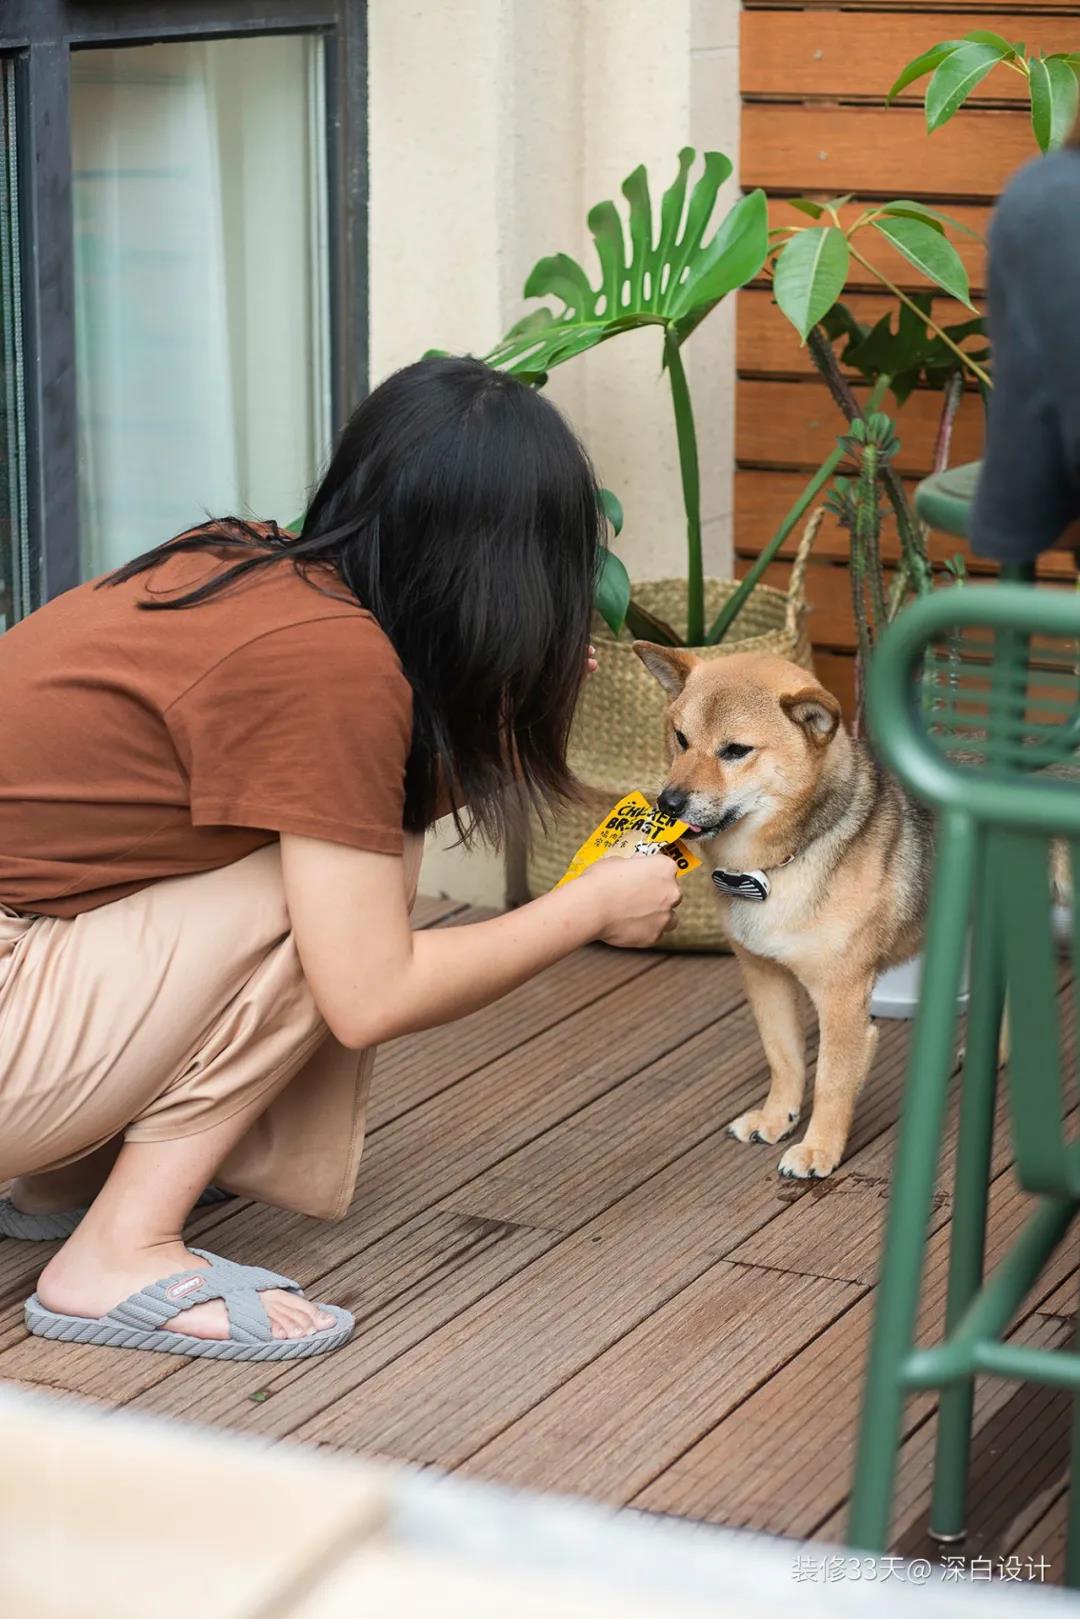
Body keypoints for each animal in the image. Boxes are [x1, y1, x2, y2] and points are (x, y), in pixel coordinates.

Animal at [637, 641, 932, 1178]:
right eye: (680, 738)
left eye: (735, 751)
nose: (668, 803)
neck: (770, 868)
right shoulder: (763, 976)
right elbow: (784, 1056)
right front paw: (778, 1118)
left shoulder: (842, 997)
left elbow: (833, 1079)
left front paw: (819, 1149)